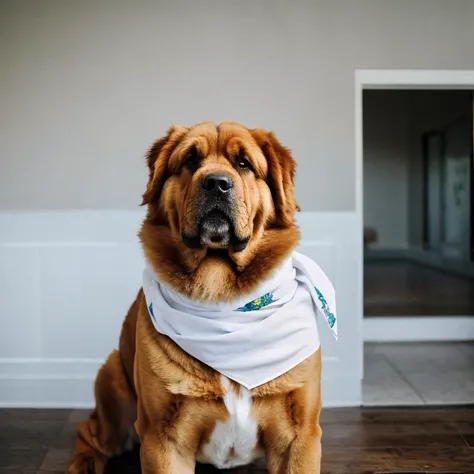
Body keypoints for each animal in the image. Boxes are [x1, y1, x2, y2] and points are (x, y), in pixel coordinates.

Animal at [66, 123, 322, 474]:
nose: (216, 183)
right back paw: (86, 461)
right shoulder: (164, 440)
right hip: (111, 382)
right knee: (89, 431)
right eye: (190, 160)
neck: (222, 299)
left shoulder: (298, 435)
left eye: (243, 163)